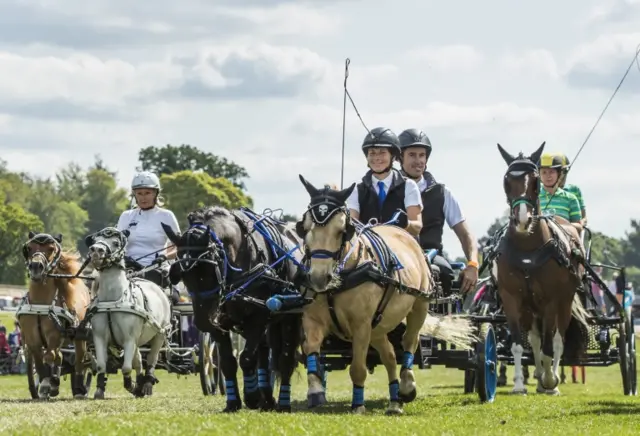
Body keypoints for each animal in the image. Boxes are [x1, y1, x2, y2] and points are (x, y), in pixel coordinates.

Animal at [18, 233, 92, 400]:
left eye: (51, 248)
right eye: (29, 248)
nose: (36, 267)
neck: (41, 304)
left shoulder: (54, 335)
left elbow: (50, 356)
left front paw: (48, 384)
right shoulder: (32, 340)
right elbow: (39, 363)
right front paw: (46, 383)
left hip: (80, 336)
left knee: (80, 361)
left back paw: (79, 389)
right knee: (60, 357)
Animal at [84, 227, 172, 400]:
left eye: (116, 242)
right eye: (95, 240)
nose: (96, 250)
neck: (113, 300)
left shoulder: (129, 338)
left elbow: (125, 367)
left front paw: (132, 386)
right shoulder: (99, 337)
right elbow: (101, 365)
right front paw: (100, 389)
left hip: (159, 334)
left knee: (151, 359)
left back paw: (147, 384)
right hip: (138, 340)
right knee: (138, 361)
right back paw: (140, 382)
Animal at [164, 207, 306, 412]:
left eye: (210, 271)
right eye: (183, 274)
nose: (202, 322)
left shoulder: (258, 317)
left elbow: (246, 358)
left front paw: (252, 396)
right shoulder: (220, 324)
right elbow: (228, 362)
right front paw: (233, 402)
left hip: (289, 317)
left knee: (284, 360)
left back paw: (282, 402)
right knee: (264, 354)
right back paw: (267, 398)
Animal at [296, 175, 476, 414]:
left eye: (342, 230)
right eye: (305, 228)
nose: (318, 278)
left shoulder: (361, 324)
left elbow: (358, 368)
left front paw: (358, 405)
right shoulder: (313, 321)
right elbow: (312, 353)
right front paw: (315, 391)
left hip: (419, 306)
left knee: (409, 342)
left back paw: (406, 387)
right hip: (379, 324)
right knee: (390, 355)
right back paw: (394, 400)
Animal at [496, 142, 592, 396]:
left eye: (536, 180)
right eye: (507, 180)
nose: (522, 220)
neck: (527, 249)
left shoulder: (551, 300)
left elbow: (550, 344)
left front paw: (551, 381)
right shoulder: (511, 298)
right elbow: (519, 344)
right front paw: (519, 385)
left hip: (564, 301)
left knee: (557, 339)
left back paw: (551, 379)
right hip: (531, 307)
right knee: (536, 339)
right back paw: (539, 377)